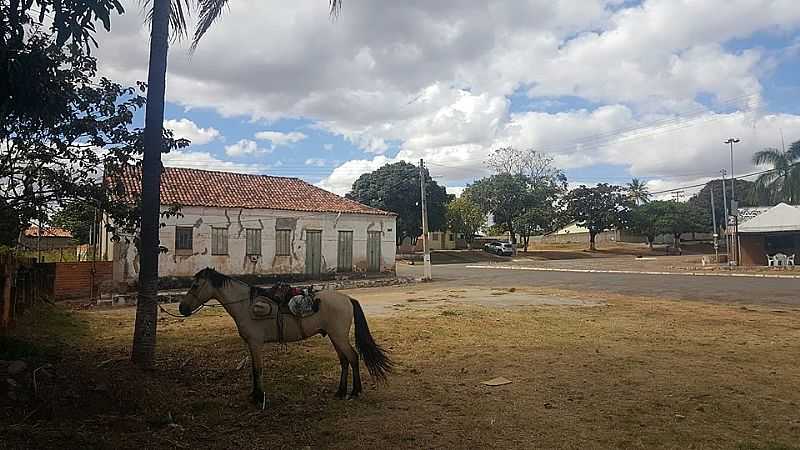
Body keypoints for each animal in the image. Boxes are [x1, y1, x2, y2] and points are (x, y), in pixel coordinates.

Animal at [180, 268, 394, 404]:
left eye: (195, 285)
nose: (182, 308)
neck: (245, 304)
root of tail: (348, 298)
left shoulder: (255, 343)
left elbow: (257, 369)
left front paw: (258, 397)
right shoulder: (252, 345)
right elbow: (253, 369)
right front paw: (254, 394)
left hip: (339, 336)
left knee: (353, 358)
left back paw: (355, 391)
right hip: (335, 337)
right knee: (344, 360)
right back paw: (341, 392)